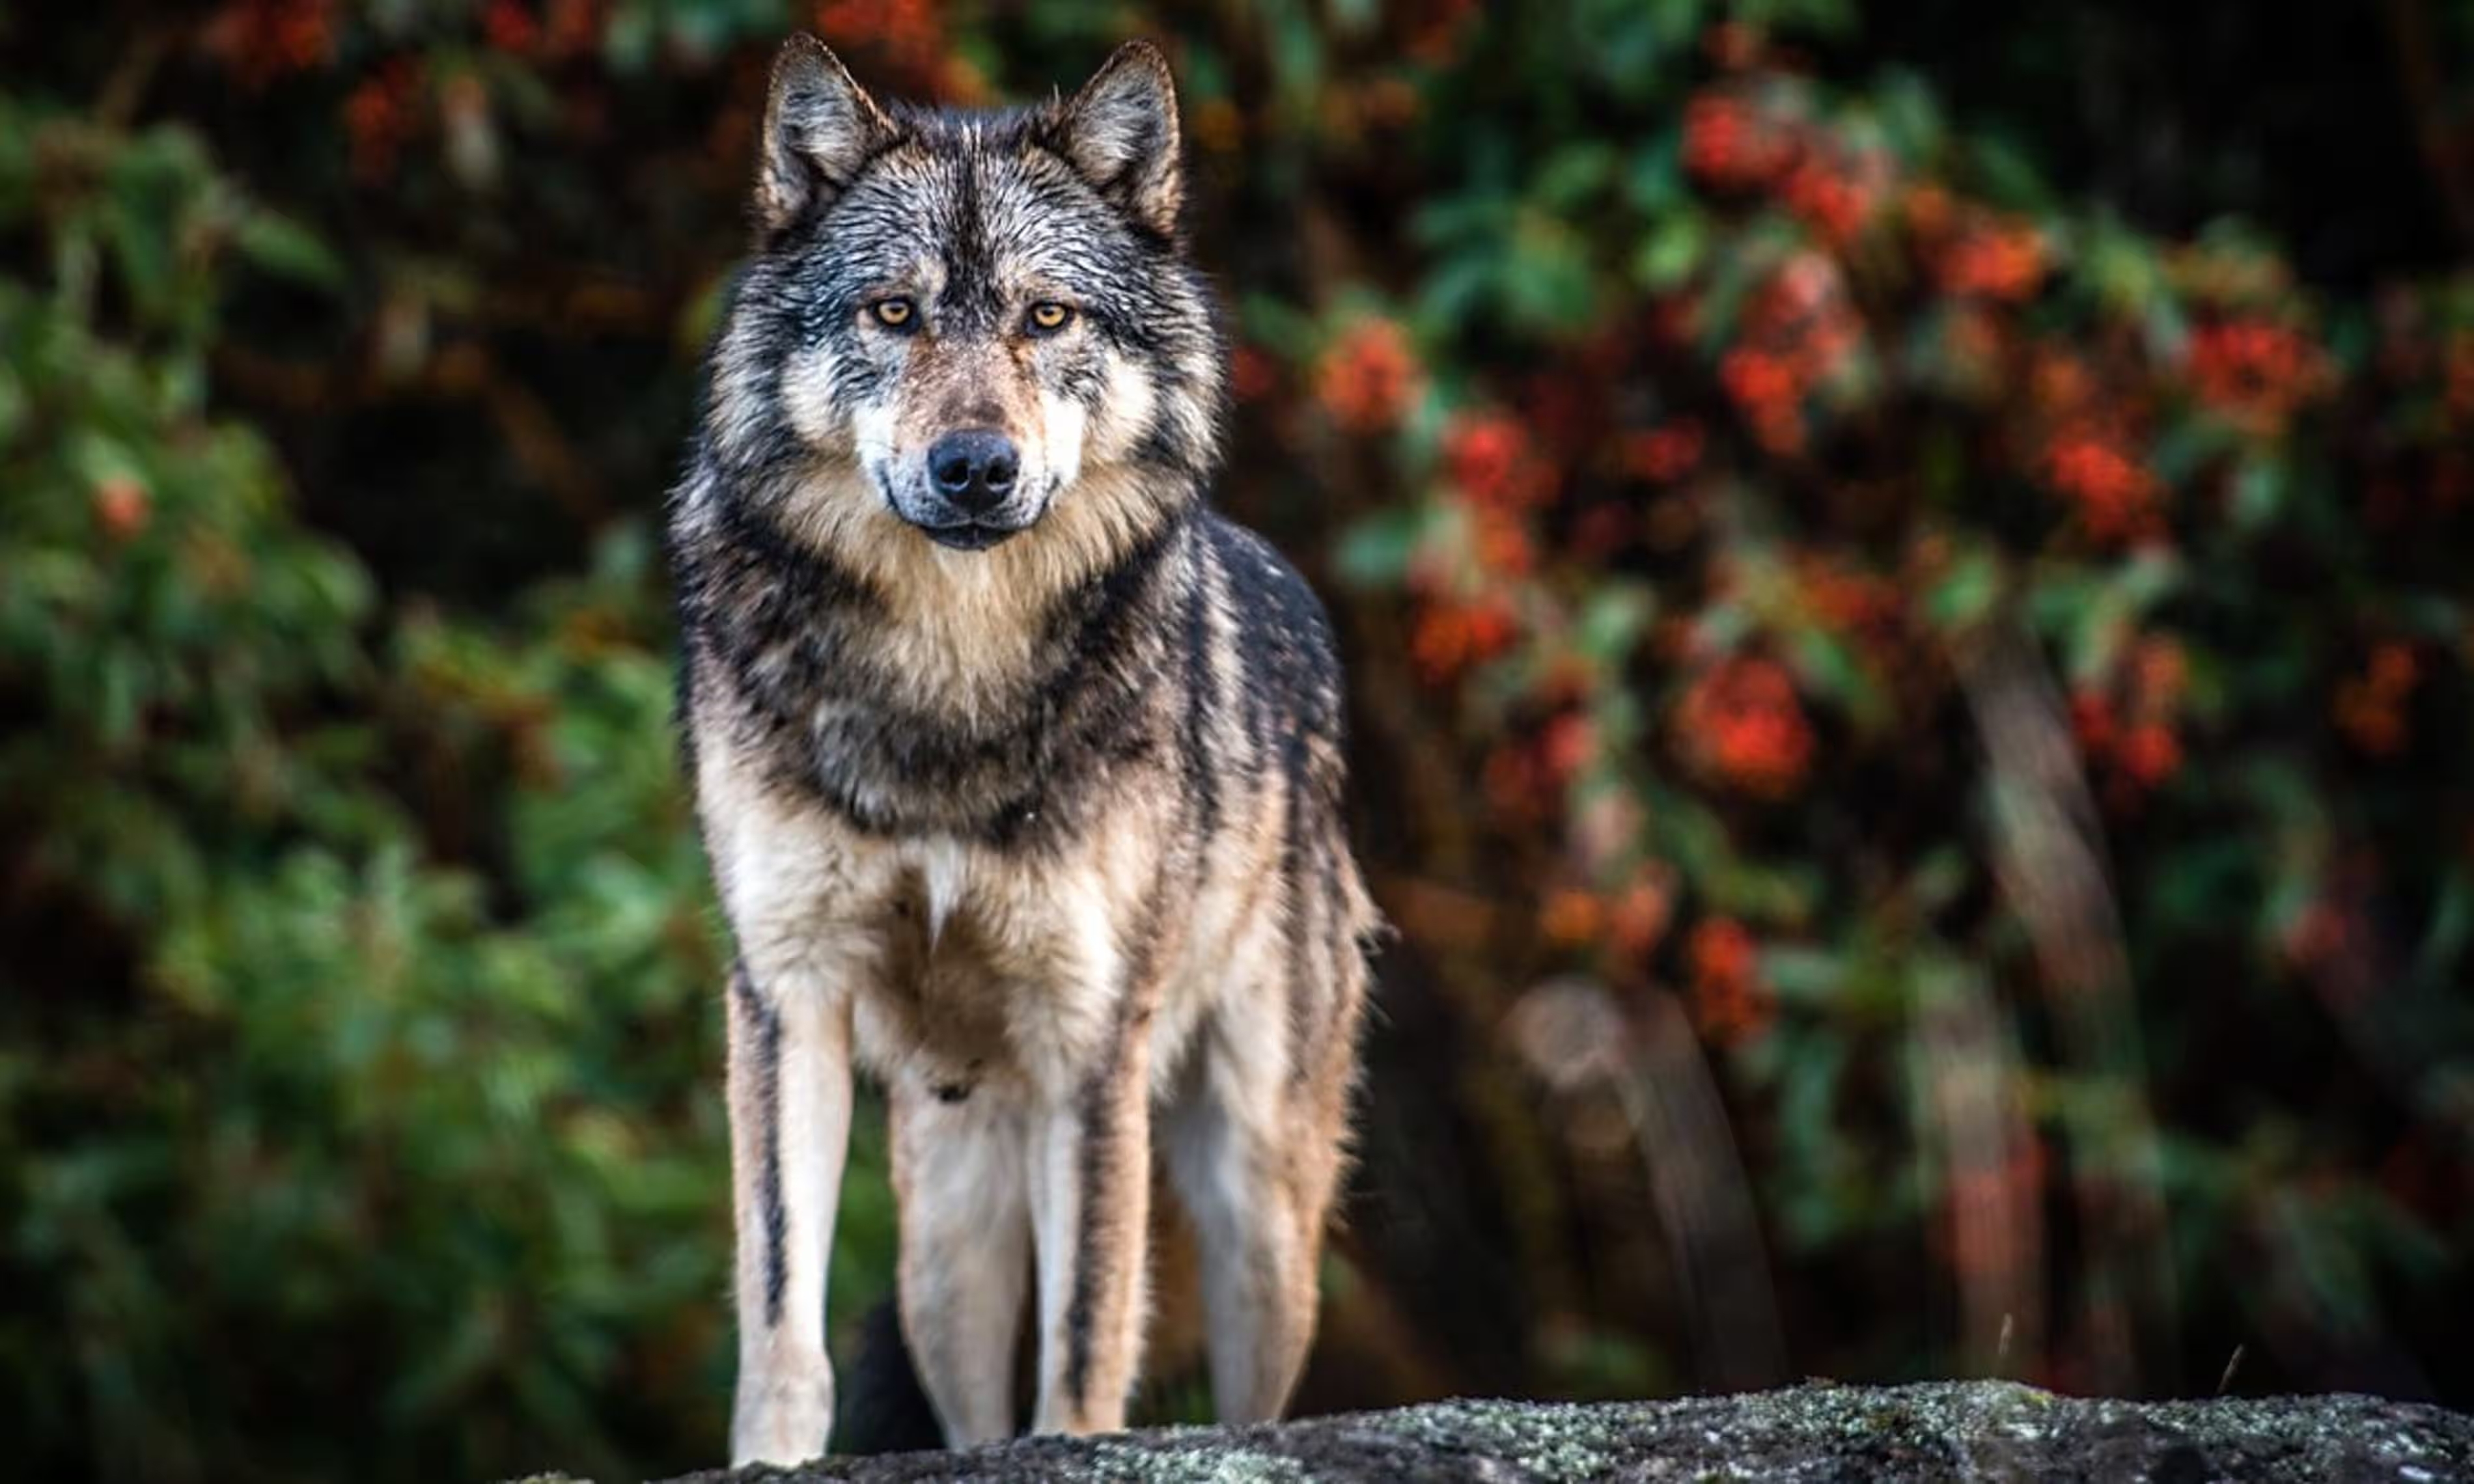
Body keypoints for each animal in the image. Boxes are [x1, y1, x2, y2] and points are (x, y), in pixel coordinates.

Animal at [668, 31, 1385, 1464]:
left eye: (1046, 319)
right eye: (894, 314)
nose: (974, 469)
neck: (953, 676)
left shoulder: (1092, 1036)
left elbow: (1086, 1340)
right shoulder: (786, 994)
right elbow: (780, 1316)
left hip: (1259, 1216)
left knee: (1249, 1388)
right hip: (945, 1244)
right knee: (961, 1396)